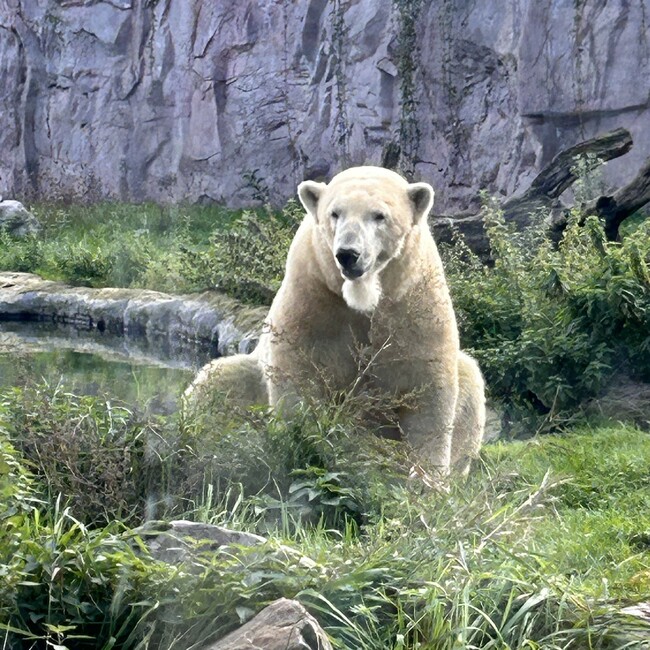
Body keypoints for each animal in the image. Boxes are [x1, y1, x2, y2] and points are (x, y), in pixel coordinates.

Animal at [185, 165, 484, 474]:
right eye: (335, 213)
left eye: (379, 215)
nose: (348, 254)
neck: (363, 296)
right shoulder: (312, 297)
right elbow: (298, 377)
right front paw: (304, 449)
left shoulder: (412, 302)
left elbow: (428, 387)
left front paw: (425, 476)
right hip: (249, 378)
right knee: (215, 384)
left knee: (470, 382)